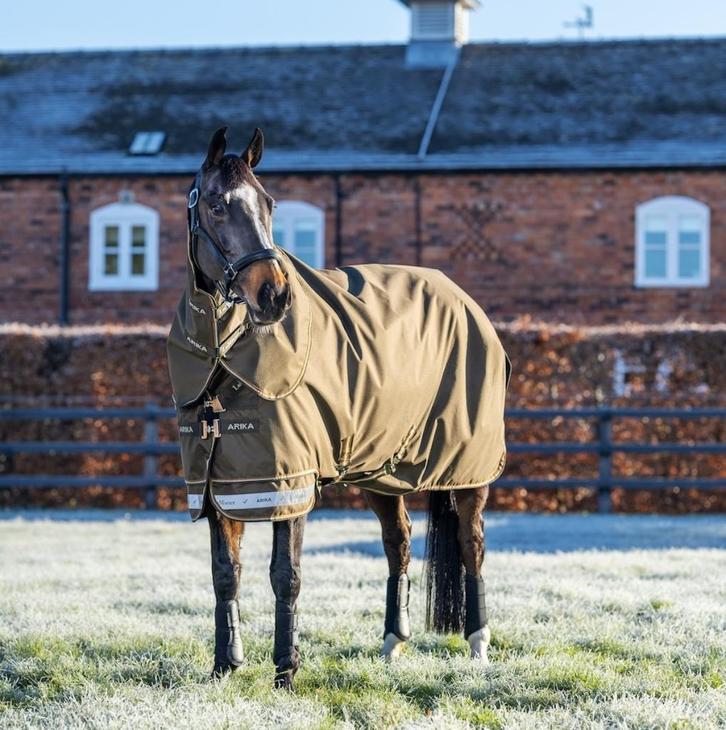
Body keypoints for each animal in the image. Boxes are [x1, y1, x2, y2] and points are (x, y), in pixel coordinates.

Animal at [166, 127, 509, 690]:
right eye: (216, 204)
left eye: (269, 204)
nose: (274, 295)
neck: (224, 362)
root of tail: (468, 302)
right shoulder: (218, 485)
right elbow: (225, 575)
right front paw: (224, 666)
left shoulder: (289, 482)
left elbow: (286, 575)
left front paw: (285, 672)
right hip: (386, 470)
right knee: (399, 541)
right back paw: (392, 643)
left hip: (467, 468)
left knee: (471, 541)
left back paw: (479, 644)